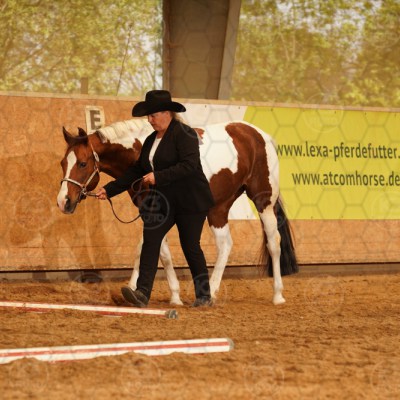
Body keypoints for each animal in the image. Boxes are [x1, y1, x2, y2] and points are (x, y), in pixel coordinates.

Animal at [57, 118, 298, 305]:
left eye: (82, 163)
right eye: (62, 163)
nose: (63, 201)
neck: (138, 153)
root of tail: (260, 135)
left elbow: (161, 252)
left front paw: (174, 296)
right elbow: (144, 248)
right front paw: (133, 289)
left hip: (263, 201)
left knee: (273, 242)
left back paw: (277, 295)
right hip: (218, 207)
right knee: (225, 244)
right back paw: (212, 290)